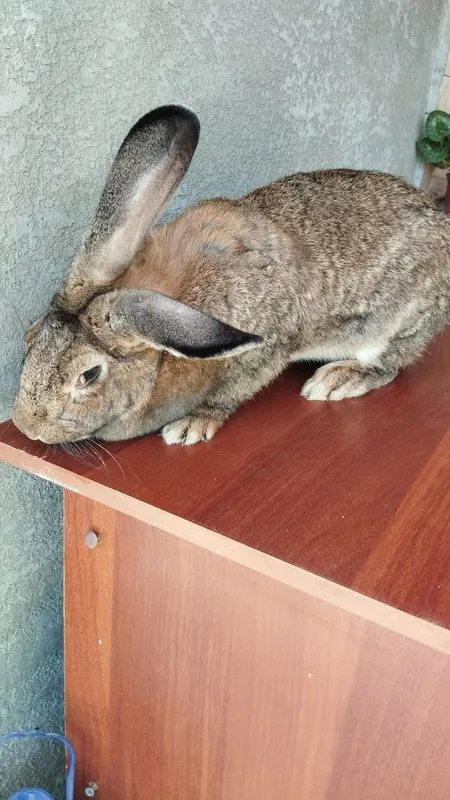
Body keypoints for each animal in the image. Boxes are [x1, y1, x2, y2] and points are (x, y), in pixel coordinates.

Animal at [13, 104, 450, 446]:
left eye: (88, 375)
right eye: (29, 338)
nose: (25, 427)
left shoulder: (265, 350)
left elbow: (229, 393)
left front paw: (191, 425)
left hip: (396, 329)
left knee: (389, 365)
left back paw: (338, 380)